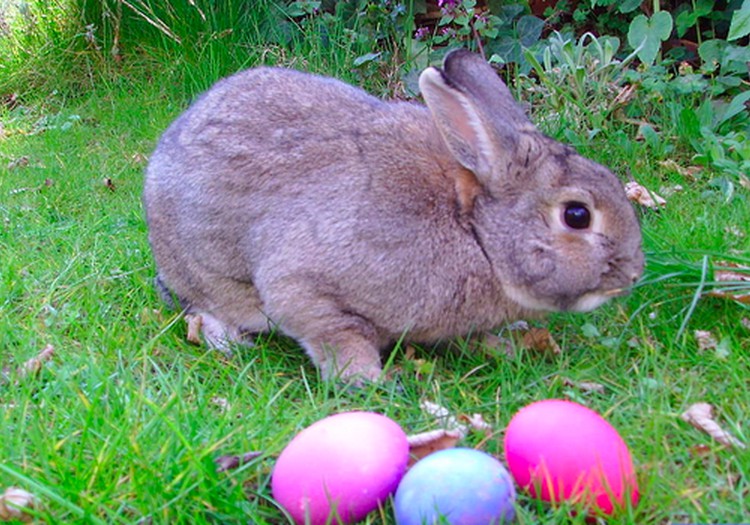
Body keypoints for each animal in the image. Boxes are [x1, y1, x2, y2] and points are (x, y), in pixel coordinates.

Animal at [145, 49, 648, 380]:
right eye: (577, 215)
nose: (634, 273)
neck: (476, 234)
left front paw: (504, 346)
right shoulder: (306, 286)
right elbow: (335, 333)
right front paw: (367, 381)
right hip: (207, 275)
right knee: (204, 306)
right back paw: (230, 341)